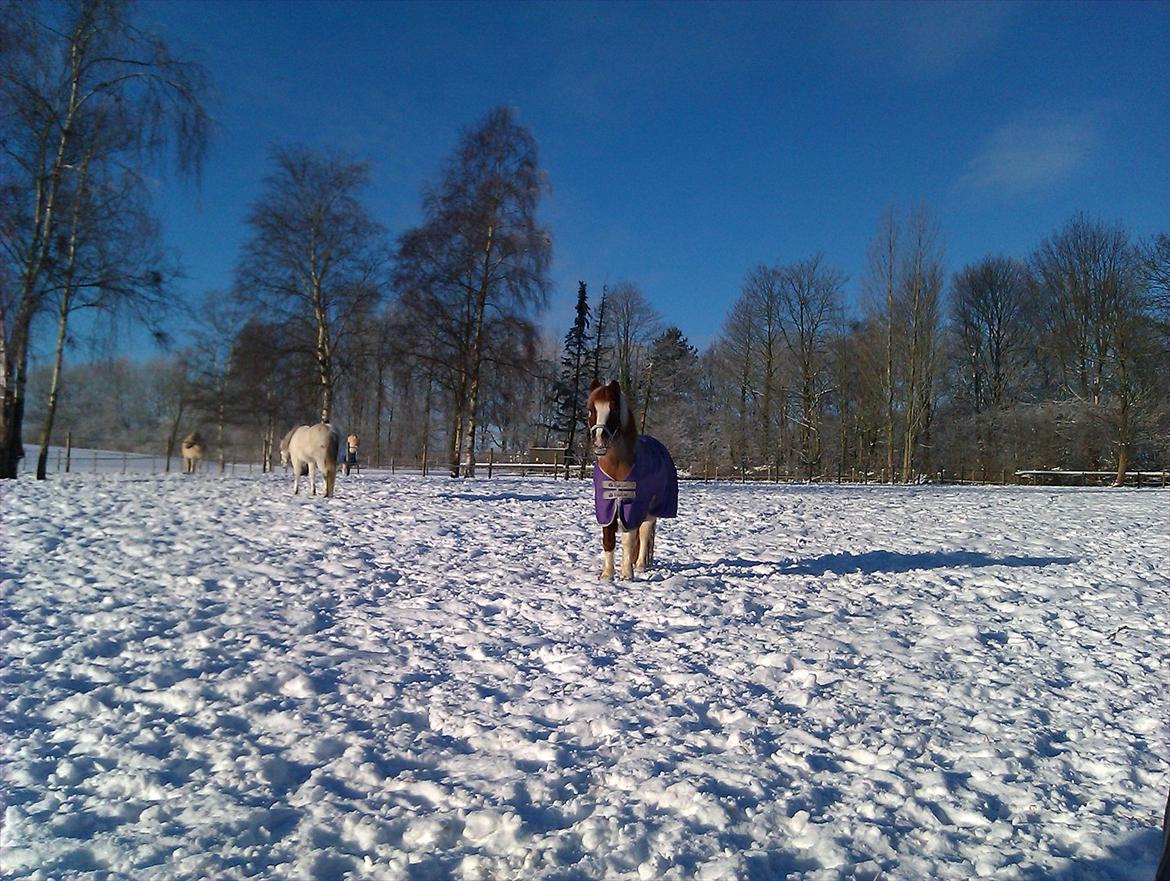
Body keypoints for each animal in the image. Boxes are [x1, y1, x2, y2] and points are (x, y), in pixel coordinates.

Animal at [589, 376, 683, 577]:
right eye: (591, 410)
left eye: (613, 408)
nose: (599, 441)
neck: (617, 467)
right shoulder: (606, 505)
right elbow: (608, 538)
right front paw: (607, 575)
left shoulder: (631, 505)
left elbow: (629, 540)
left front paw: (626, 574)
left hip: (651, 509)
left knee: (645, 533)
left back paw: (640, 565)